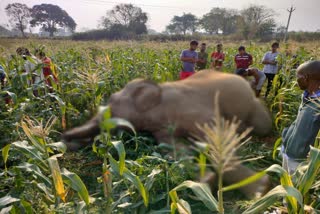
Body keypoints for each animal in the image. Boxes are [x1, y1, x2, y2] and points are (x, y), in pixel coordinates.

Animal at [62, 70, 272, 199]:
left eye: (111, 100)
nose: (63, 139)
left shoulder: (191, 108)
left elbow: (217, 135)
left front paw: (260, 190)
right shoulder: (161, 129)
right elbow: (173, 148)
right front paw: (205, 182)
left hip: (254, 107)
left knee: (263, 125)